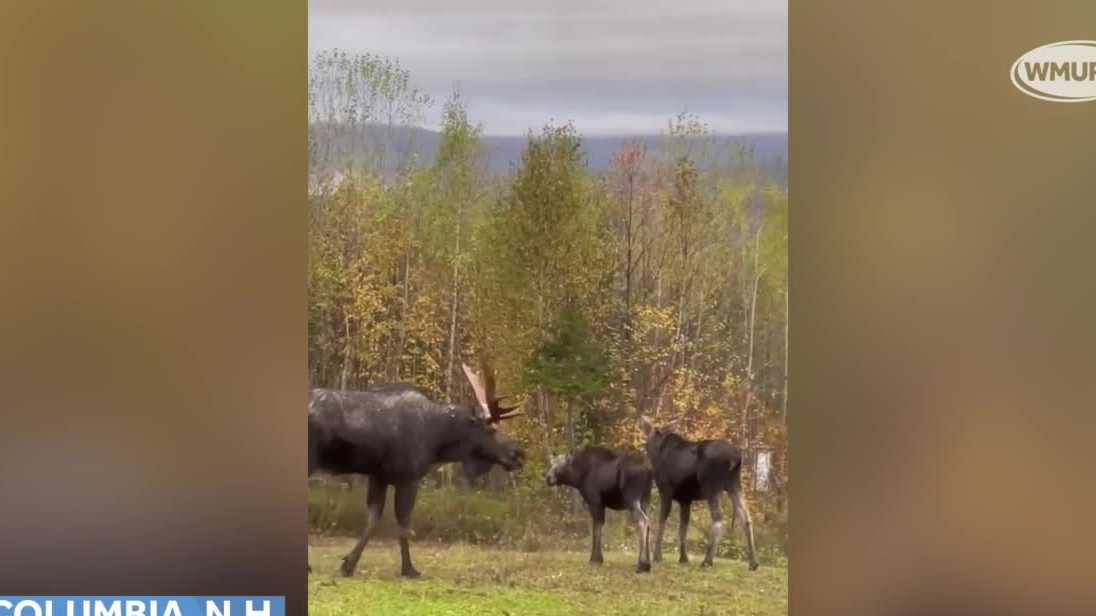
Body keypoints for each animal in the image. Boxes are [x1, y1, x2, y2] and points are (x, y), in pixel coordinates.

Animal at [307, 360, 525, 578]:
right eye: (491, 429)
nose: (519, 454)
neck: (439, 439)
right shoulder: (409, 477)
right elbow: (403, 524)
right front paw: (409, 568)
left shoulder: (379, 476)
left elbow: (374, 519)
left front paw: (349, 563)